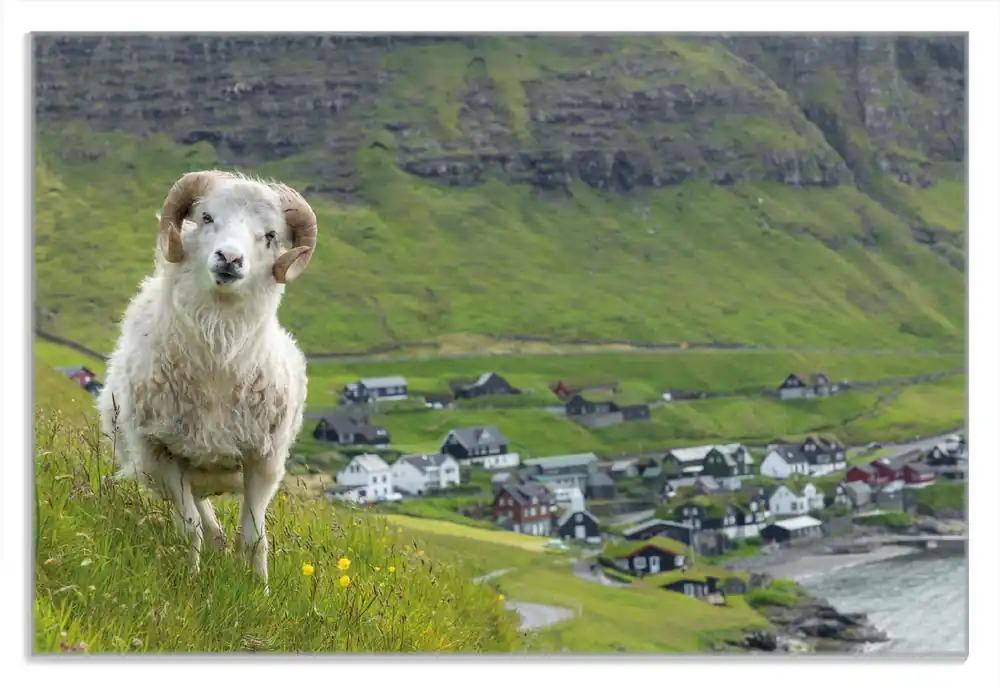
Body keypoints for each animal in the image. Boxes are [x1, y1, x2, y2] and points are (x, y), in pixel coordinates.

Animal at [97, 170, 317, 588]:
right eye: (207, 217)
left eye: (270, 235)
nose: (229, 259)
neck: (218, 360)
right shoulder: (162, 455)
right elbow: (190, 529)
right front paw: (190, 579)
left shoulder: (264, 462)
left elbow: (254, 538)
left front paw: (260, 591)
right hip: (165, 469)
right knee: (205, 522)